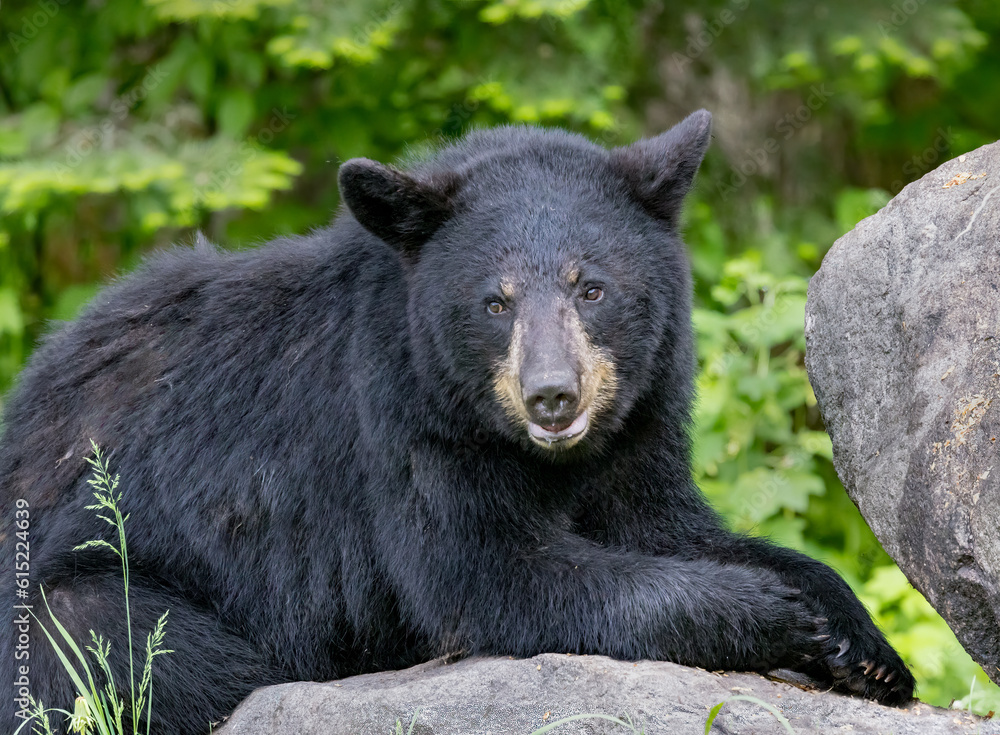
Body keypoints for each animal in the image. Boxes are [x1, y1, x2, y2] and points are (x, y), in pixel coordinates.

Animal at [1, 110, 914, 735]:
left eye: (592, 286)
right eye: (495, 301)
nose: (553, 396)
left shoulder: (638, 425)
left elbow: (669, 523)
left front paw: (863, 646)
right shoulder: (401, 428)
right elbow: (491, 575)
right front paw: (774, 615)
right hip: (76, 593)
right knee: (123, 641)